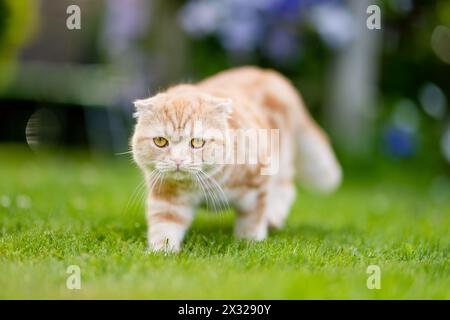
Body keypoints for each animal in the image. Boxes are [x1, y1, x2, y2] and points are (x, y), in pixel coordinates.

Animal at [130, 67, 342, 252]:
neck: (204, 182)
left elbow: (252, 219)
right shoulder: (167, 197)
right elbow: (164, 226)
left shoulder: (258, 184)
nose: (177, 160)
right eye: (160, 141)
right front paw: (162, 252)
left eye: (197, 142)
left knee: (286, 187)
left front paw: (250, 243)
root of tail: (270, 75)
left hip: (281, 159)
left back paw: (274, 216)